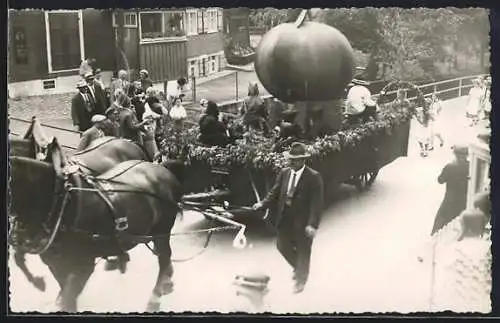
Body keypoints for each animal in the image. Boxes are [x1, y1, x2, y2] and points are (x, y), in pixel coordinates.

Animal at [8, 156, 182, 312]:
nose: (17, 235)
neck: (62, 204)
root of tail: (162, 169)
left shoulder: (84, 266)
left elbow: (69, 297)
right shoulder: (55, 263)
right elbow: (65, 293)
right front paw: (41, 284)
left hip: (162, 230)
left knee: (164, 257)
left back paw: (155, 299)